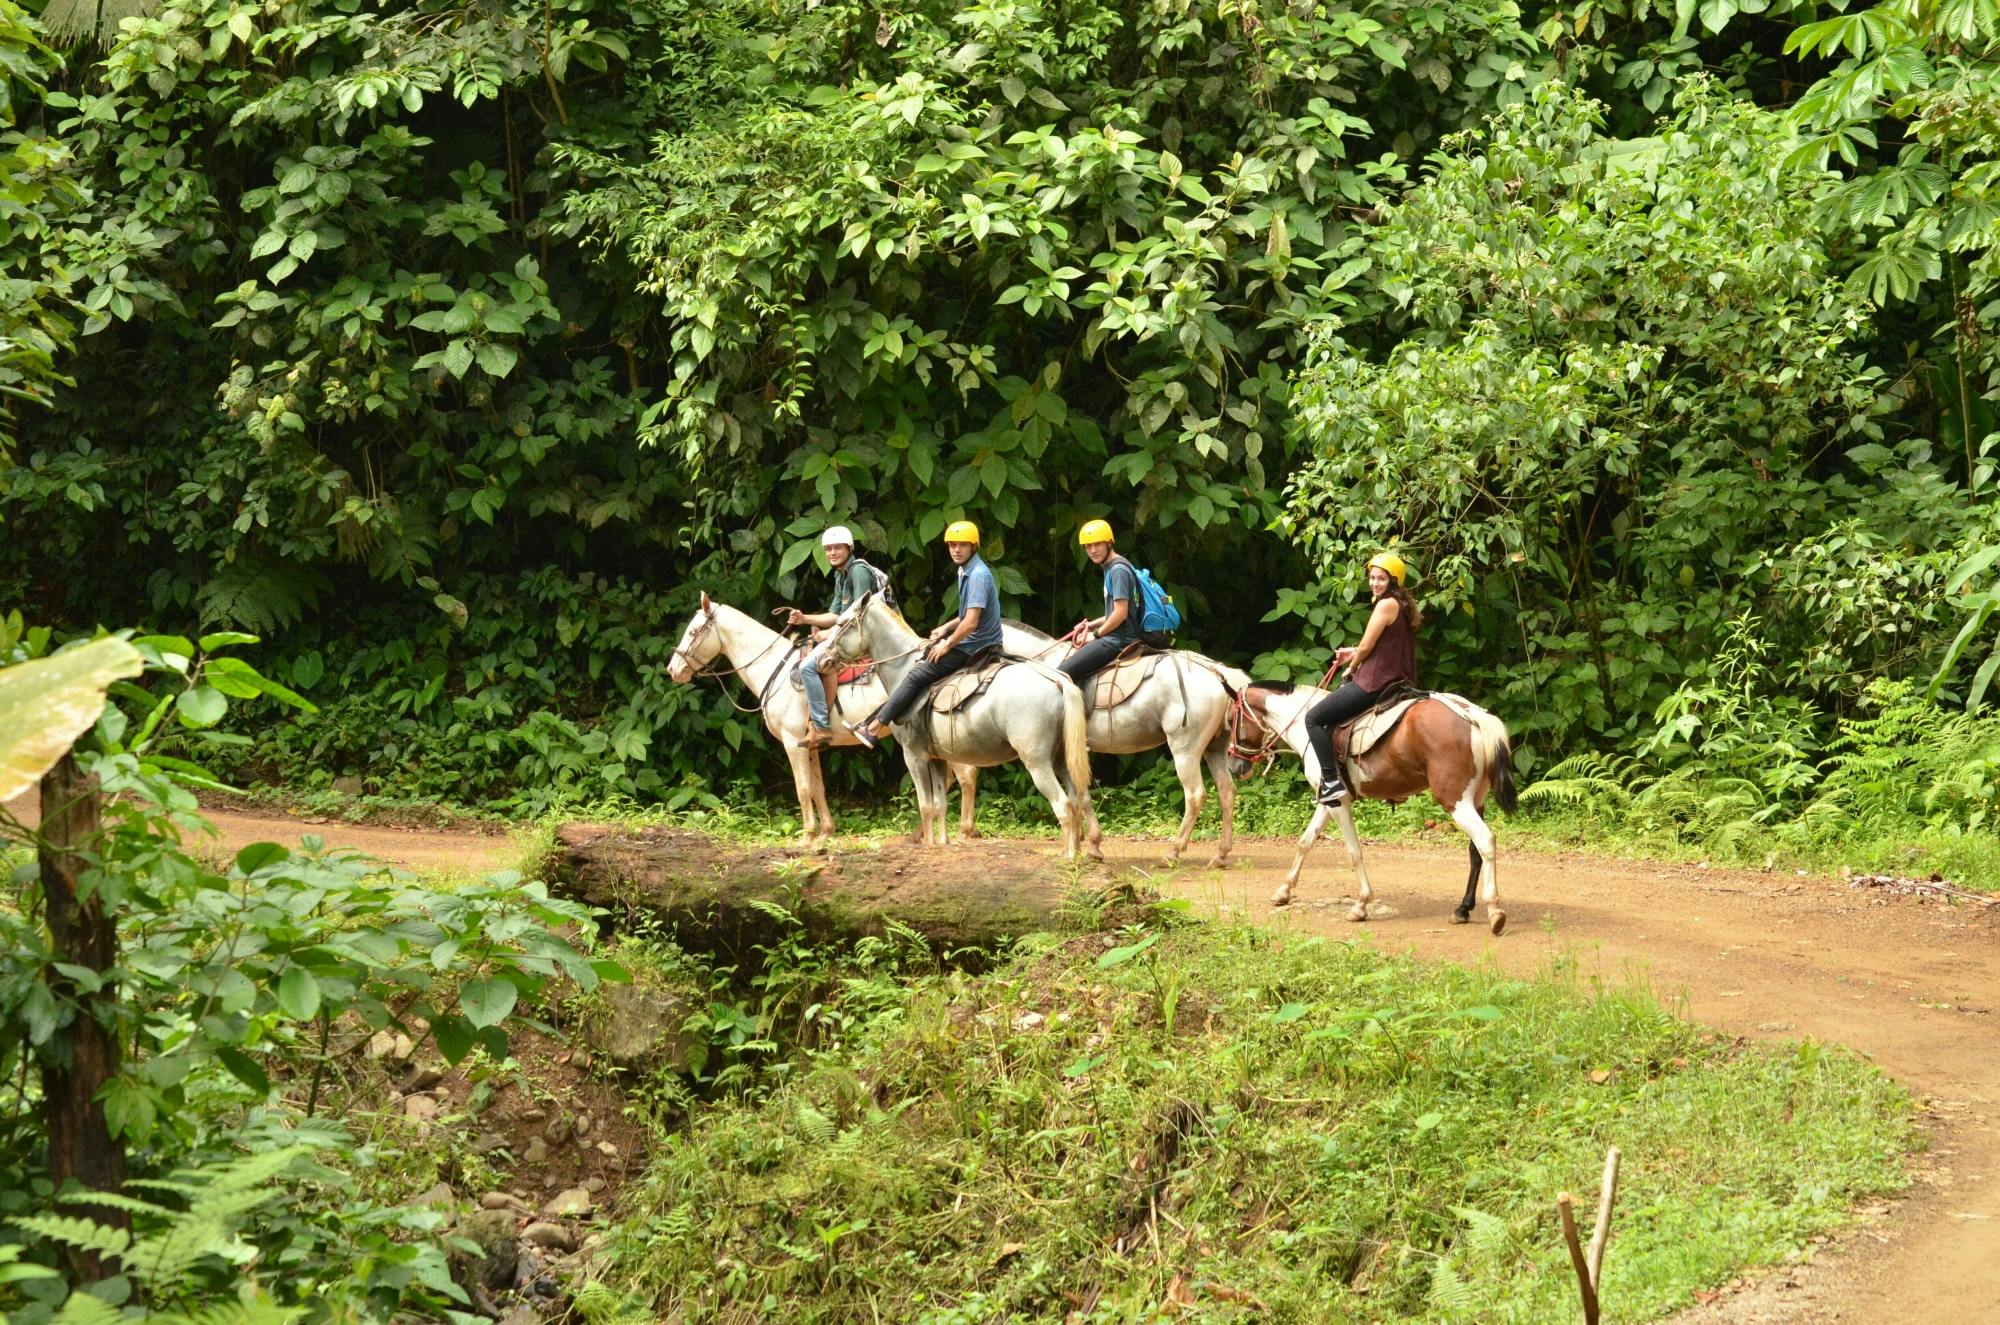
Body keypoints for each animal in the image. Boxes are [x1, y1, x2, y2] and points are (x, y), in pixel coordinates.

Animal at [672, 592, 976, 852]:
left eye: (693, 632)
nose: (673, 669)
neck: (775, 668)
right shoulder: (810, 744)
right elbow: (818, 787)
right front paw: (826, 832)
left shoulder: (792, 741)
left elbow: (803, 788)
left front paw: (807, 836)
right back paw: (921, 834)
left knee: (967, 774)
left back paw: (962, 832)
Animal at [812, 592, 1096, 860]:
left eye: (841, 623)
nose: (822, 661)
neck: (902, 668)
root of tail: (1056, 679)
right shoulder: (938, 759)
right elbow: (940, 804)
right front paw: (942, 843)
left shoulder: (913, 756)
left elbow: (925, 806)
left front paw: (928, 845)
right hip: (1060, 758)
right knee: (1077, 799)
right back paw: (1079, 850)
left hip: (1036, 761)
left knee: (1062, 804)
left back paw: (1069, 856)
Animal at [1000, 624, 1248, 872]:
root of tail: (1218, 673)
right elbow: (1081, 793)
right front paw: (1089, 845)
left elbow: (1079, 794)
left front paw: (1086, 845)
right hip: (1215, 748)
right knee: (1227, 791)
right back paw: (1220, 855)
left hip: (1185, 751)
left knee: (1195, 795)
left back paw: (1174, 851)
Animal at [1216, 684, 1512, 932]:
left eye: (1232, 720)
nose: (1234, 765)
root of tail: (1472, 715)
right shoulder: (1327, 800)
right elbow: (1305, 842)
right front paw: (1284, 891)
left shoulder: (1338, 802)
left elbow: (1353, 852)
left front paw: (1361, 904)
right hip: (1475, 800)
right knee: (1475, 853)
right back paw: (1463, 909)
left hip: (1456, 801)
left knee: (1486, 841)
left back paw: (1495, 910)